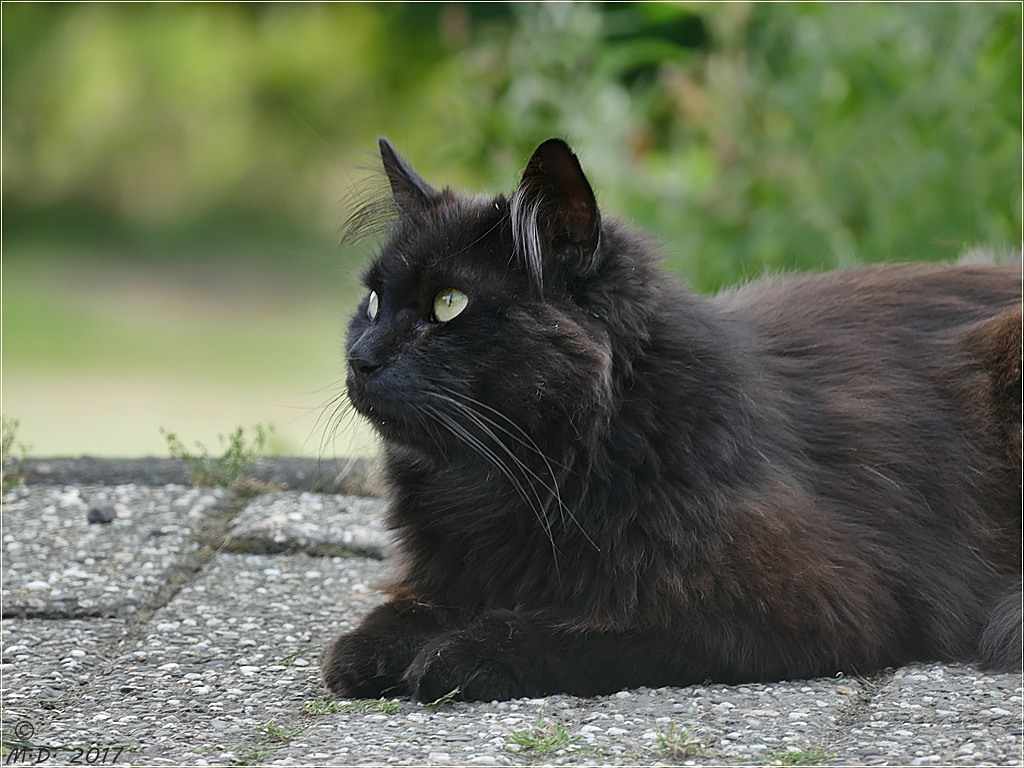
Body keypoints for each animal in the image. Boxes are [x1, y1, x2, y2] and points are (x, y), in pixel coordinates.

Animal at [325, 138, 1024, 704]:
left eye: (449, 304)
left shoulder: (802, 602)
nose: (360, 360)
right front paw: (376, 646)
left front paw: (466, 651)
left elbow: (578, 629)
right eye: (373, 302)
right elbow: (401, 613)